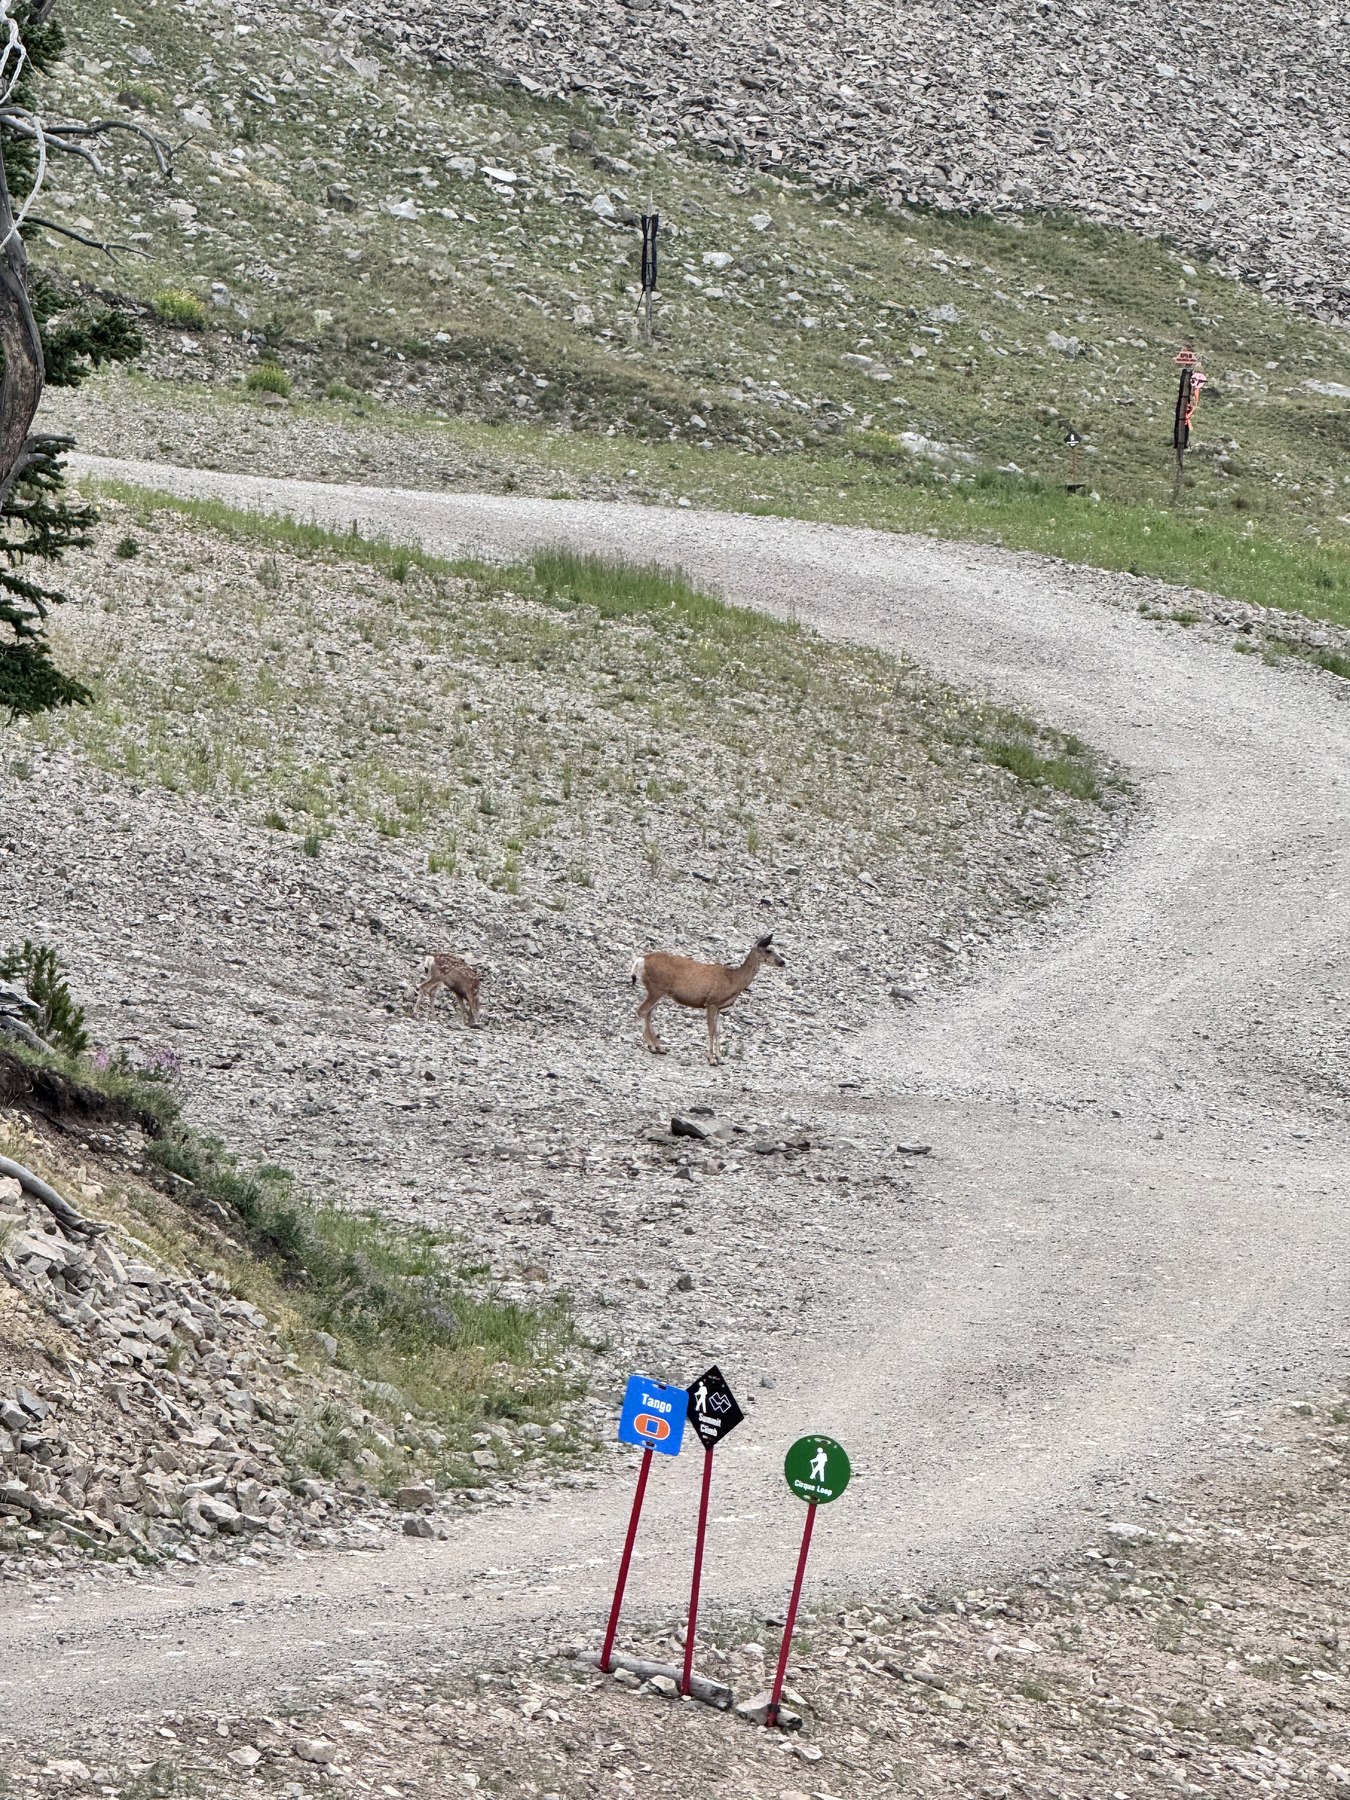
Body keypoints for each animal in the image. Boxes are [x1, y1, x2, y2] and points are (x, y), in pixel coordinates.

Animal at [629, 934, 785, 1065]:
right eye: (769, 950)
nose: (783, 962)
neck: (732, 980)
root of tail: (641, 960)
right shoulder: (712, 1002)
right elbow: (711, 1029)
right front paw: (711, 1059)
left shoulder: (720, 1007)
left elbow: (718, 1031)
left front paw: (721, 1058)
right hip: (656, 989)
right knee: (642, 1010)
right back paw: (651, 1046)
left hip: (658, 991)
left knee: (649, 1013)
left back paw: (659, 1047)